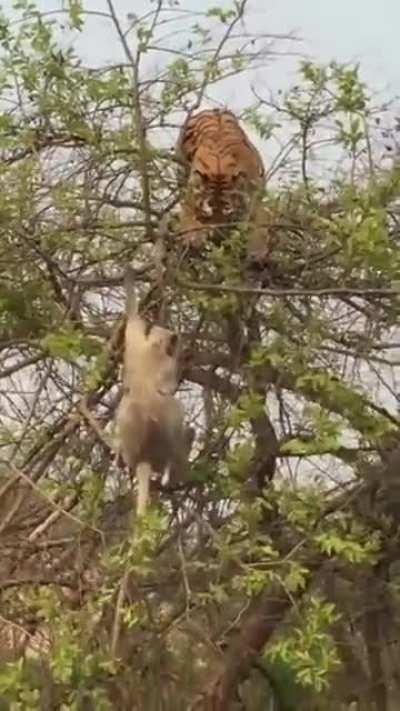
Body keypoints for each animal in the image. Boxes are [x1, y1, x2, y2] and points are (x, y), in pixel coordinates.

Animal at [115, 267, 189, 516]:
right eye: (172, 344)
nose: (175, 344)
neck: (155, 348)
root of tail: (143, 457)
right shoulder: (166, 362)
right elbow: (171, 386)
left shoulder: (138, 343)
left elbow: (132, 319)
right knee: (177, 410)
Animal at [175, 108, 271, 263]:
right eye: (208, 213)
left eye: (227, 211)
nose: (217, 238)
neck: (220, 170)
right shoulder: (191, 189)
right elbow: (188, 211)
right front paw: (192, 237)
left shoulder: (255, 193)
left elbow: (258, 221)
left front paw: (257, 251)